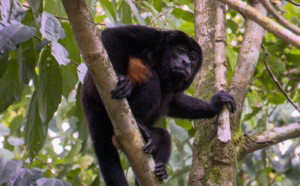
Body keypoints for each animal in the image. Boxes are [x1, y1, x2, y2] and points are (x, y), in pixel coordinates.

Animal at [81, 25, 236, 186]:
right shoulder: (154, 37)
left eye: (193, 57)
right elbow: (114, 34)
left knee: (164, 136)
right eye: (181, 51)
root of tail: (87, 100)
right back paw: (137, 119)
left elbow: (174, 101)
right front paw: (120, 78)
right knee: (152, 77)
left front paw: (216, 104)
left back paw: (158, 168)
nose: (186, 62)